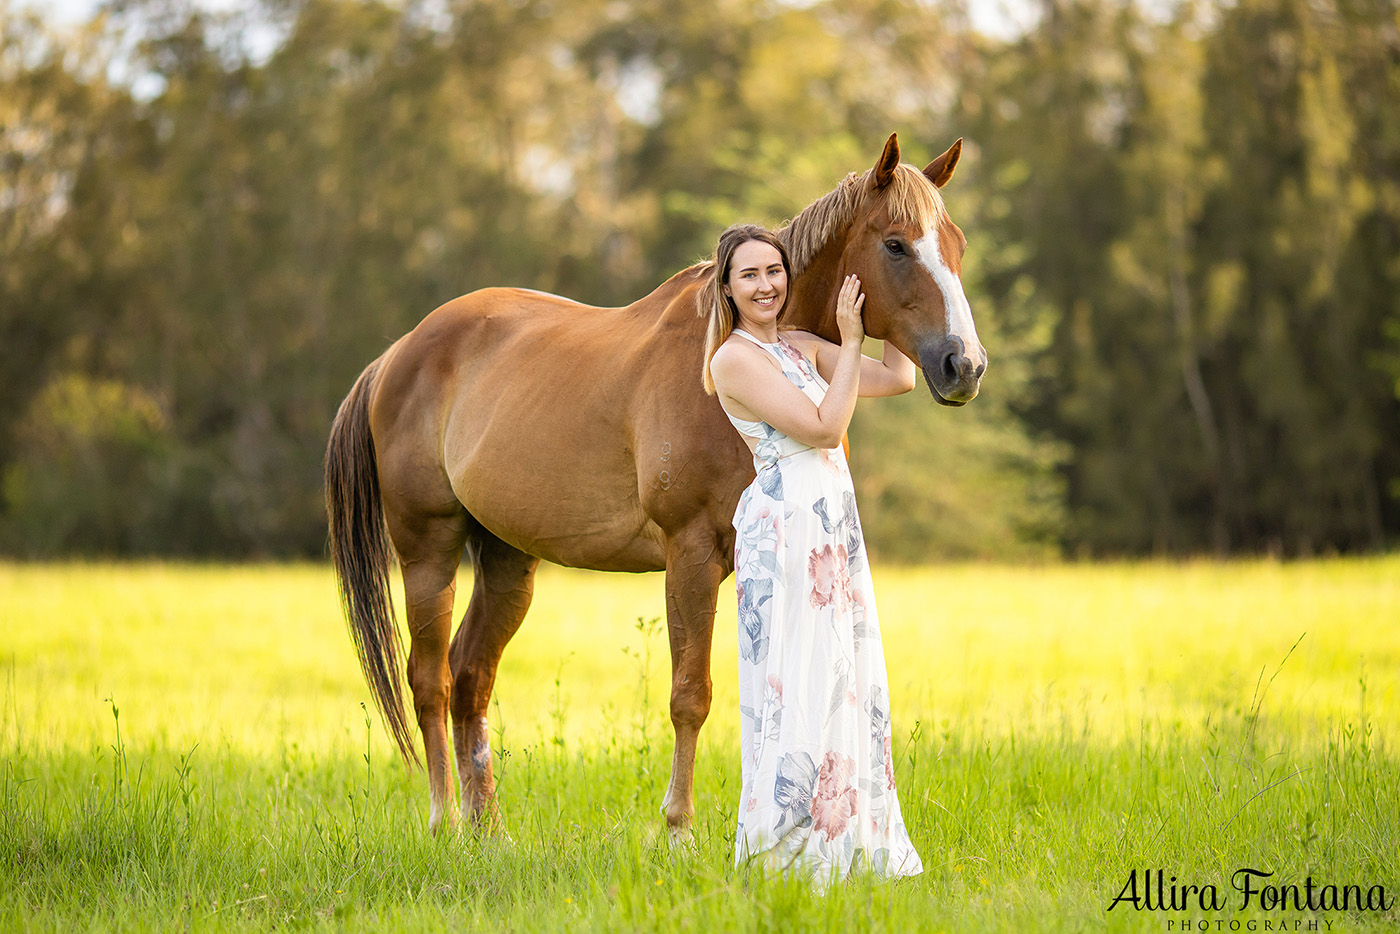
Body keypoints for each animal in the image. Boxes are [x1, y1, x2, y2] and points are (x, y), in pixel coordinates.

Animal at [324, 133, 985, 840]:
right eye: (896, 245)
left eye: (957, 244)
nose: (965, 365)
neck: (723, 353)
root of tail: (398, 353)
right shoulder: (690, 554)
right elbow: (690, 695)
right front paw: (679, 829)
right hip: (428, 549)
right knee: (431, 681)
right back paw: (444, 820)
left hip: (507, 558)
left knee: (472, 674)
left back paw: (488, 834)